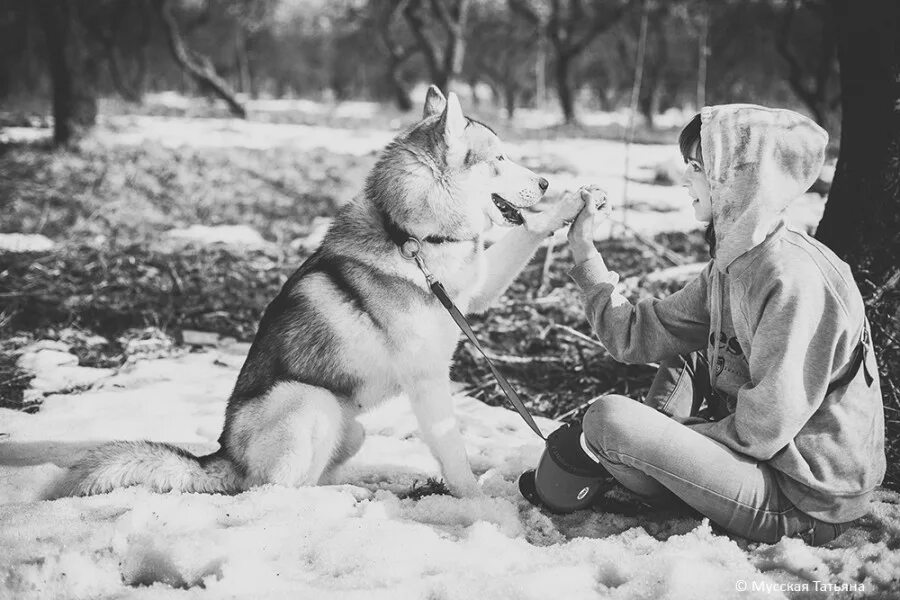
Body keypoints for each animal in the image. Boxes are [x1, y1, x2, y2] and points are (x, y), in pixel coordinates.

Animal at [56, 84, 580, 496]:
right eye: (499, 159)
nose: (545, 181)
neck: (413, 238)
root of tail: (223, 457)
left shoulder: (476, 291)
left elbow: (522, 239)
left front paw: (569, 207)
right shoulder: (428, 380)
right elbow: (453, 453)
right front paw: (480, 504)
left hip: (353, 430)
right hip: (310, 402)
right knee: (273, 489)